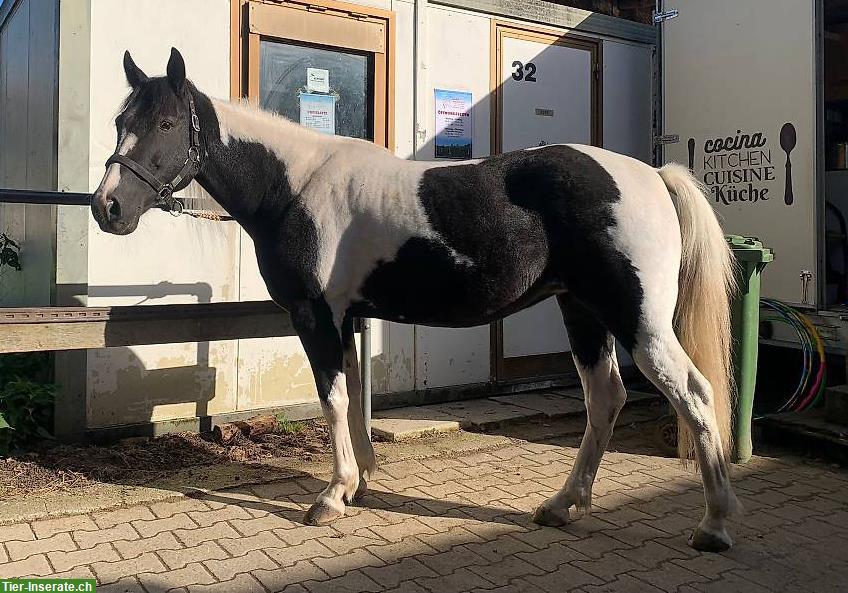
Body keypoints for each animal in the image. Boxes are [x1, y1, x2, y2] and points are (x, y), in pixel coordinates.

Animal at [93, 49, 740, 552]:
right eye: (121, 119)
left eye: (168, 123)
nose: (108, 207)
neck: (295, 186)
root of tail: (653, 176)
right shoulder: (346, 320)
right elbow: (352, 399)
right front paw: (358, 483)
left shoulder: (316, 317)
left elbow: (332, 400)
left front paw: (332, 496)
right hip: (581, 312)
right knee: (605, 398)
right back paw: (562, 505)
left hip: (638, 322)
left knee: (694, 393)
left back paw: (714, 524)